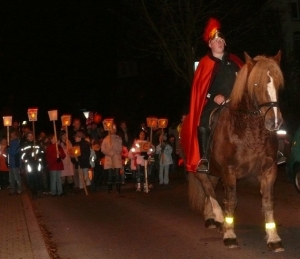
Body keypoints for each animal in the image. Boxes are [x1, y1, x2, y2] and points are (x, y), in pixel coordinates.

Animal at [189, 51, 284, 254]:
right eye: (256, 84)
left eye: (278, 84)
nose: (274, 122)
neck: (249, 131)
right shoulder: (229, 171)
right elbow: (231, 200)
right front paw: (230, 235)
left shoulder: (269, 170)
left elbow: (268, 202)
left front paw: (274, 238)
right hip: (199, 168)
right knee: (208, 188)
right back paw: (218, 218)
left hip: (215, 172)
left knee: (209, 189)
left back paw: (211, 218)